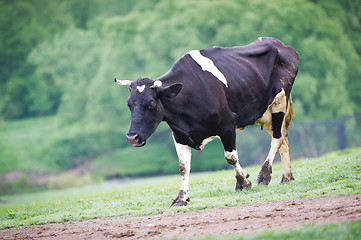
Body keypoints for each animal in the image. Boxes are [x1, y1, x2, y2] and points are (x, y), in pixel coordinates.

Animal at [114, 37, 296, 206]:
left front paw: (243, 182)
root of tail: (278, 43)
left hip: (279, 101)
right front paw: (181, 198)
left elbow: (230, 157)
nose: (132, 137)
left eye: (151, 103)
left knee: (278, 138)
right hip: (266, 112)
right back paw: (286, 177)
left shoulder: (227, 124)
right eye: (129, 104)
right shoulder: (179, 134)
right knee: (283, 137)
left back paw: (264, 174)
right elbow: (183, 166)